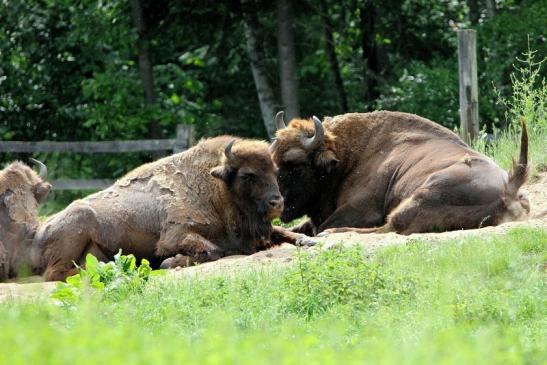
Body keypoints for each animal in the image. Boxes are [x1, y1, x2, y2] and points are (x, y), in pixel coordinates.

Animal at [31, 135, 304, 280]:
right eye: (248, 175)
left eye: (275, 171)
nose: (277, 203)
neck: (214, 189)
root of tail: (40, 229)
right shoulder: (175, 236)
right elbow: (213, 251)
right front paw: (168, 263)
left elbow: (286, 233)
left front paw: (305, 239)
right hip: (78, 224)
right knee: (55, 274)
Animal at [272, 111, 532, 236]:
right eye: (273, 160)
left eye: (295, 165)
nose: (277, 204)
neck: (345, 157)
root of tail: (509, 188)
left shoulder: (363, 210)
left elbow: (323, 225)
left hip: (422, 195)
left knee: (389, 227)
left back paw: (330, 235)